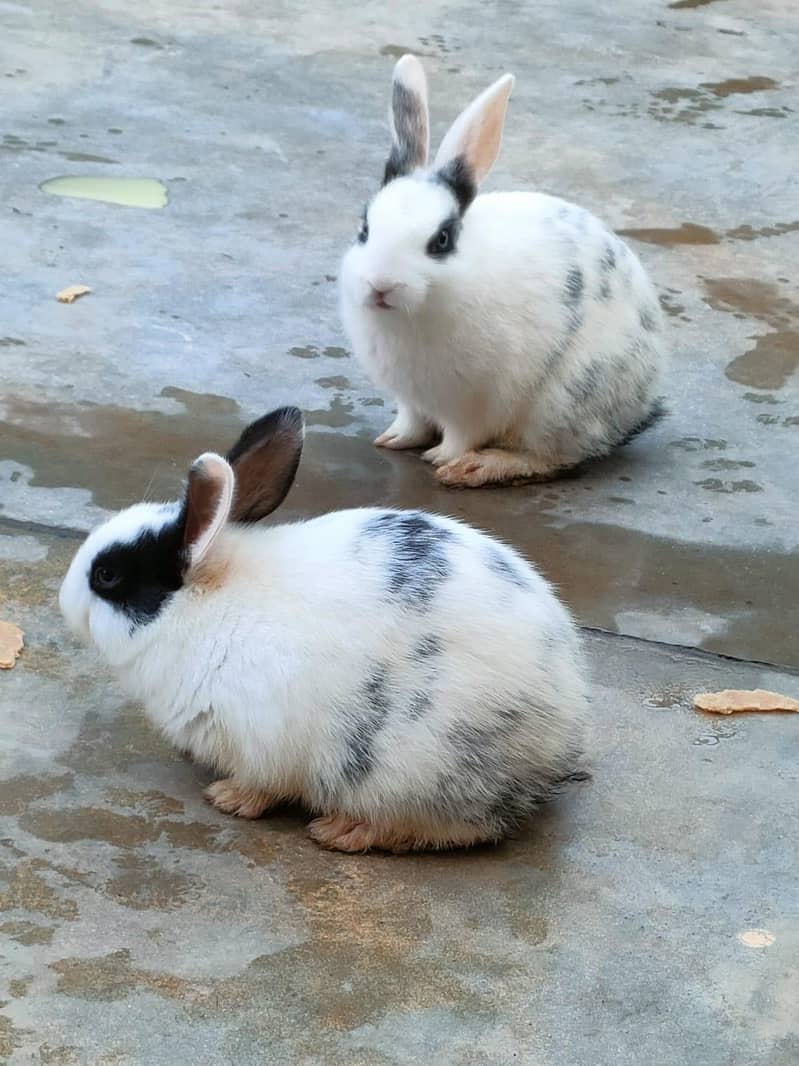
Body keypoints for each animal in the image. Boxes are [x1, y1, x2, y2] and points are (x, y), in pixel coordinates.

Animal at [59, 407, 589, 853]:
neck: (200, 606)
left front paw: (228, 798)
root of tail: (558, 736)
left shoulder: (262, 738)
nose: (64, 602)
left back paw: (342, 831)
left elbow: (262, 786)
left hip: (415, 769)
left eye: (107, 575)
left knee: (454, 828)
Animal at [340, 55, 667, 488]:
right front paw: (392, 440)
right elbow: (411, 423)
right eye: (364, 229)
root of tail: (640, 404)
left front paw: (442, 459)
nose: (381, 286)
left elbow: (460, 438)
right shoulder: (411, 400)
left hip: (562, 402)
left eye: (441, 240)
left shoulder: (473, 407)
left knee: (553, 458)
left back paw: (478, 468)